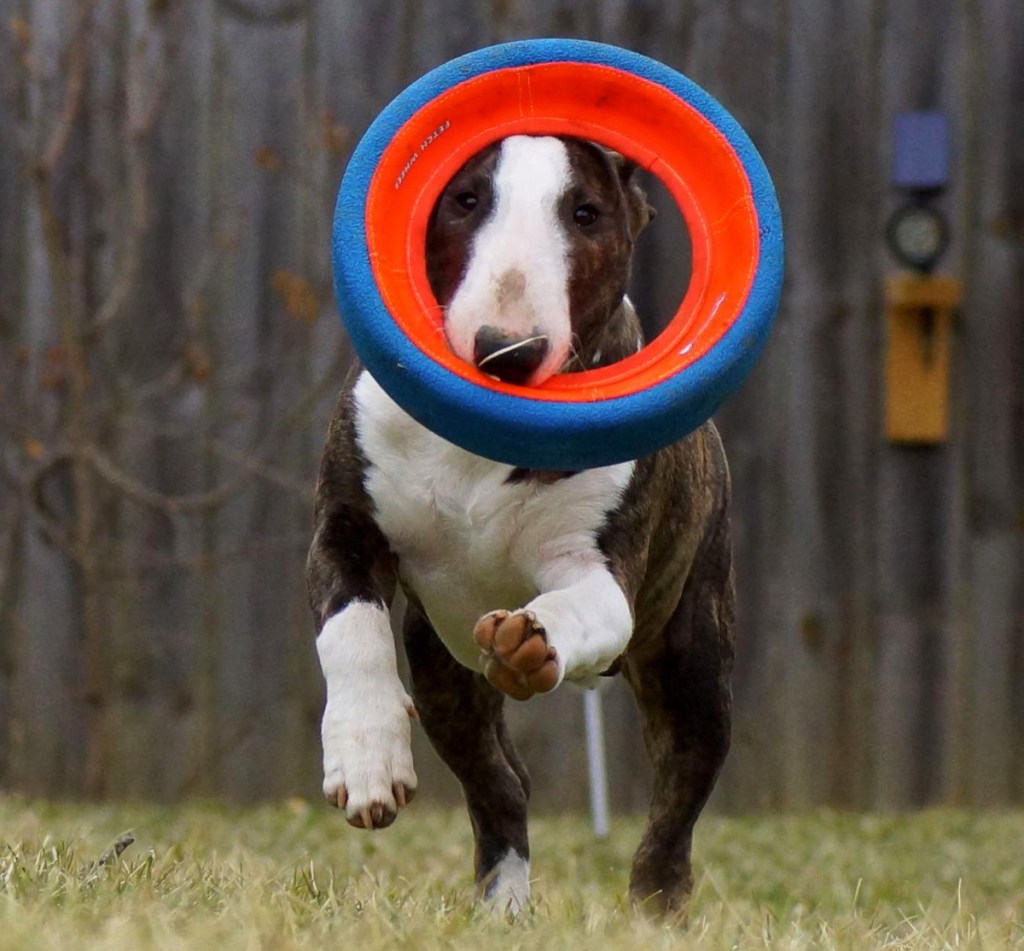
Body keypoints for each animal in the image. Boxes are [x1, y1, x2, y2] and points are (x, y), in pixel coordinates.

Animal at [305, 135, 737, 921]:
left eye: (586, 213)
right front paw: (366, 759)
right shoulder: (344, 529)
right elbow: (350, 631)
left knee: (675, 807)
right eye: (466, 199)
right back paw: (501, 906)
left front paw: (529, 643)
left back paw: (653, 914)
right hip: (442, 674)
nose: (508, 350)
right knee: (502, 783)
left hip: (696, 660)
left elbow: (577, 606)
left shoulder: (600, 569)